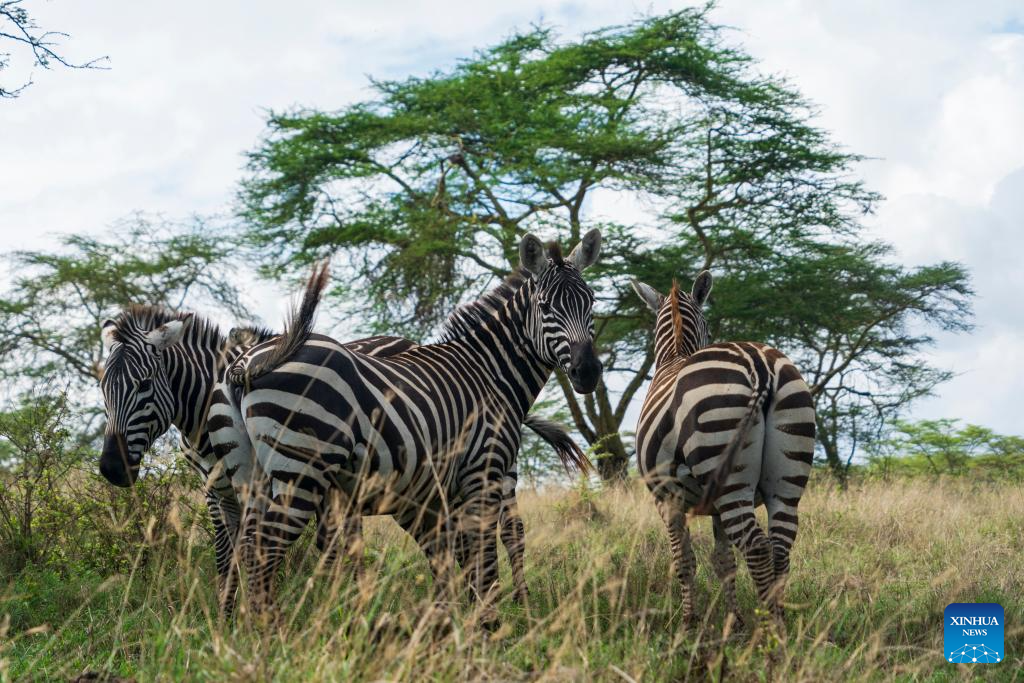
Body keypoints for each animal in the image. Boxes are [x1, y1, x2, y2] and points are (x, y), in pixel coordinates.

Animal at [97, 306, 587, 615]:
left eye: (143, 384)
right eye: (101, 387)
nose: (112, 470)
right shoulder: (217, 490)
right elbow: (226, 555)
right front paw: (228, 619)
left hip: (491, 472)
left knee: (511, 531)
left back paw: (520, 605)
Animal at [225, 230, 603, 620]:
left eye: (591, 302)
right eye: (546, 307)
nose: (588, 372)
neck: (489, 371)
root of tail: (249, 362)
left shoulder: (444, 487)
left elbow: (460, 558)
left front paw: (461, 620)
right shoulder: (484, 469)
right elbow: (484, 560)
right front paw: (489, 623)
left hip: (251, 472)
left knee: (245, 544)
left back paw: (245, 625)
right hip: (302, 468)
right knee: (265, 548)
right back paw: (270, 629)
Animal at [631, 272, 815, 628]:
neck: (674, 356)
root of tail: (759, 364)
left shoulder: (666, 500)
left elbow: (684, 560)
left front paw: (689, 622)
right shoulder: (714, 507)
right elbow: (724, 562)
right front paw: (735, 622)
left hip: (726, 468)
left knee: (757, 547)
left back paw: (769, 630)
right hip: (784, 475)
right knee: (780, 547)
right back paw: (780, 623)